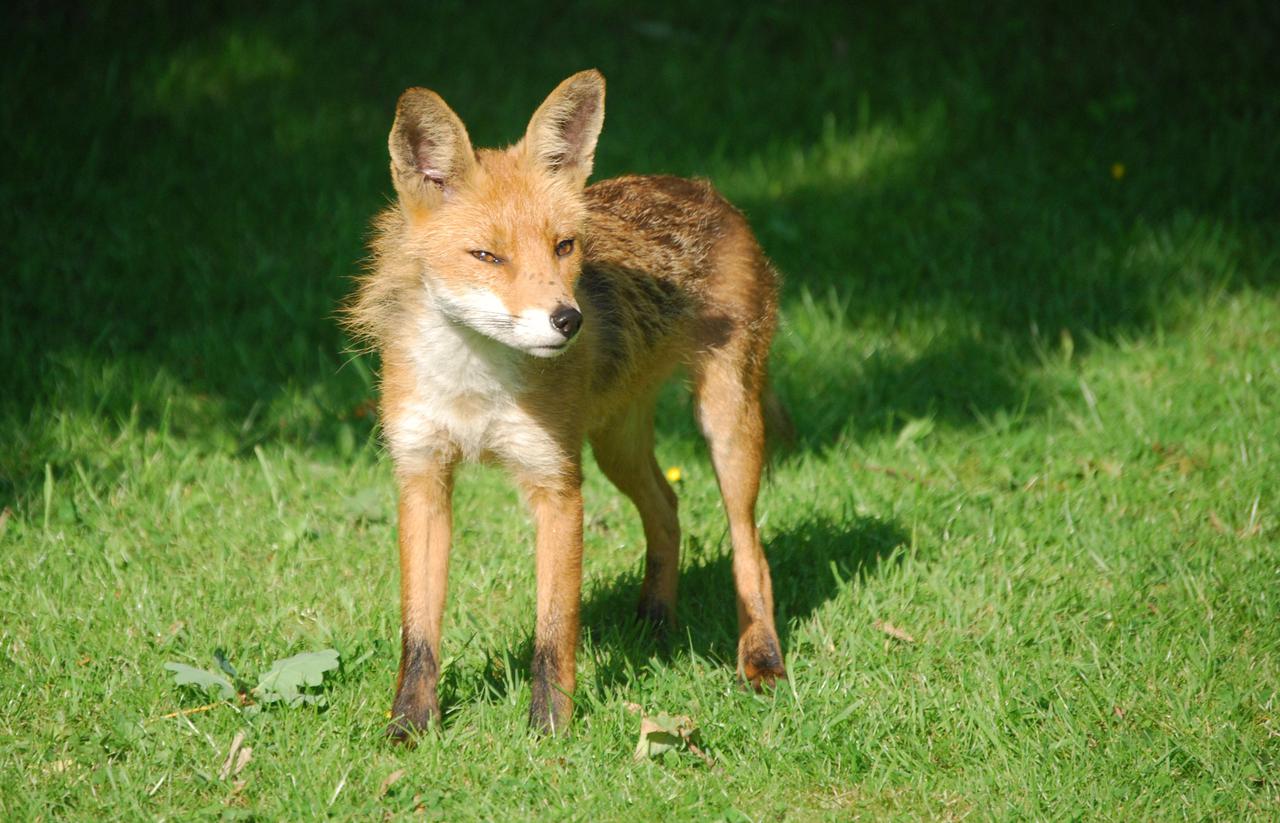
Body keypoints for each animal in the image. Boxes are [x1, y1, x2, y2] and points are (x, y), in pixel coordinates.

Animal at [346, 69, 787, 739]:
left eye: (563, 246)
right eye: (487, 256)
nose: (568, 321)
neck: (474, 386)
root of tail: (703, 190)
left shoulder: (555, 483)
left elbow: (554, 633)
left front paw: (548, 730)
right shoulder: (421, 475)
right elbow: (418, 632)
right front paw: (409, 726)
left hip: (727, 426)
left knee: (749, 549)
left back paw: (761, 660)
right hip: (615, 445)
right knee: (668, 508)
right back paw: (655, 622)